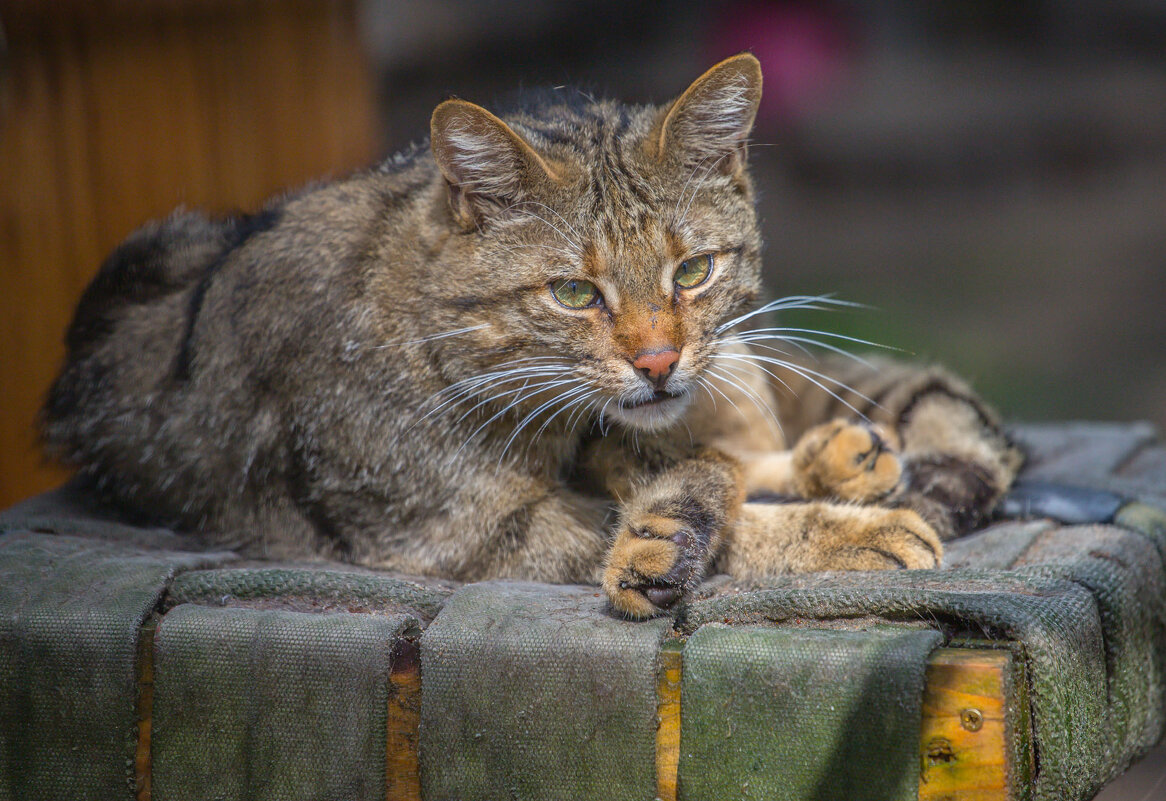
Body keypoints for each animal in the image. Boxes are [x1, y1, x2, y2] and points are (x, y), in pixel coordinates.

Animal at [41, 54, 1016, 620]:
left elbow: (709, 477)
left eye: (692, 271)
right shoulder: (463, 534)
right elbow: (717, 525)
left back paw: (839, 455)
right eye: (574, 292)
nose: (658, 360)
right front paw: (845, 533)